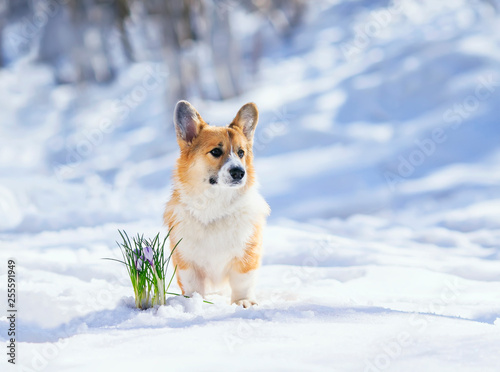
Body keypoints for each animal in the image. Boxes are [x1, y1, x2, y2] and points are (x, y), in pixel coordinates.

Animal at [165, 100, 272, 306]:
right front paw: (194, 302)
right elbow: (193, 286)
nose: (239, 173)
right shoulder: (186, 259)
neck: (214, 205)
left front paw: (243, 302)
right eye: (215, 151)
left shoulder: (247, 253)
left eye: (241, 153)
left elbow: (242, 281)